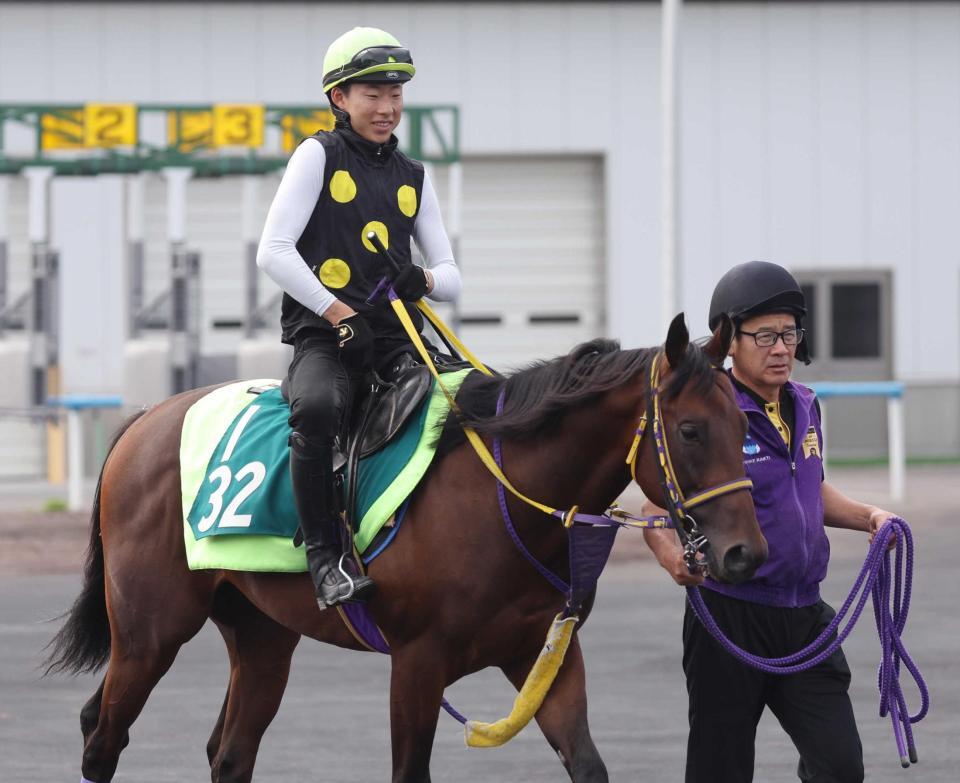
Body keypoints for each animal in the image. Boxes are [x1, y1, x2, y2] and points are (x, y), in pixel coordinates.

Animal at [45, 312, 768, 783]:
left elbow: (588, 764)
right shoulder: (417, 665)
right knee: (101, 735)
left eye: (744, 423)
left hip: (261, 636)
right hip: (150, 633)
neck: (498, 494)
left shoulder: (542, 654)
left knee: (228, 753)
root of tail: (145, 420)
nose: (747, 553)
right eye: (692, 430)